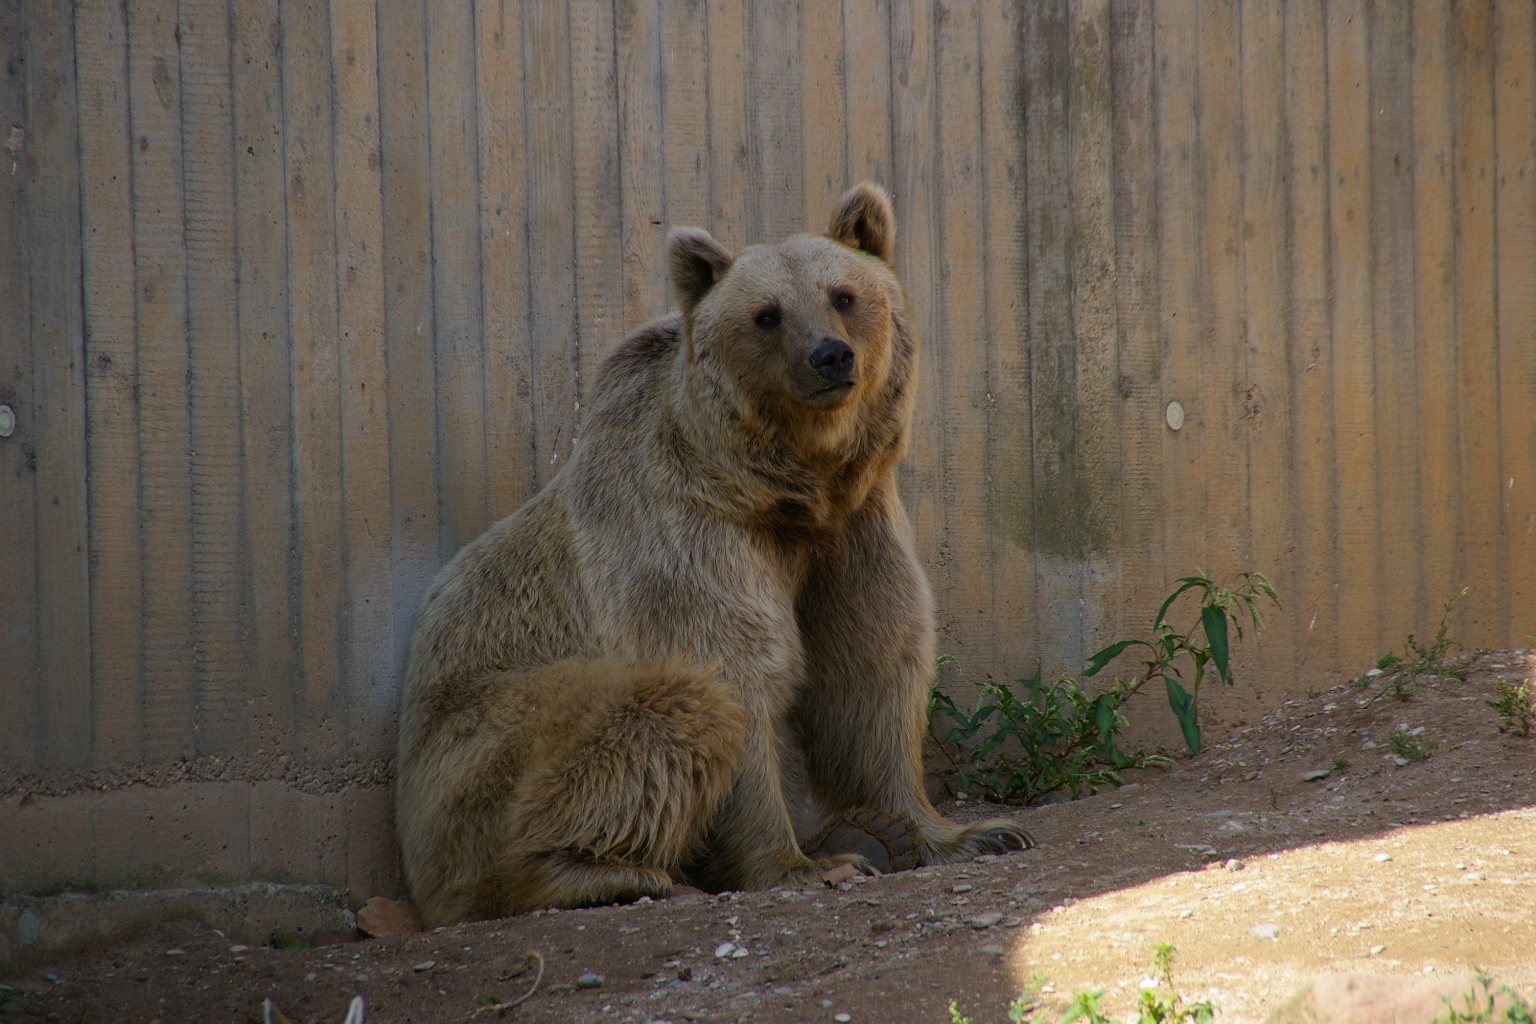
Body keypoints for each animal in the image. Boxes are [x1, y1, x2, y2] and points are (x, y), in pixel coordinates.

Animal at [396, 184, 1032, 927]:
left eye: (843, 294)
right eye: (767, 314)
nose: (830, 356)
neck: (787, 495)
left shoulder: (854, 535)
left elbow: (873, 670)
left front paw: (964, 832)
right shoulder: (692, 542)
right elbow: (735, 673)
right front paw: (800, 864)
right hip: (481, 746)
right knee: (660, 709)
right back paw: (600, 873)